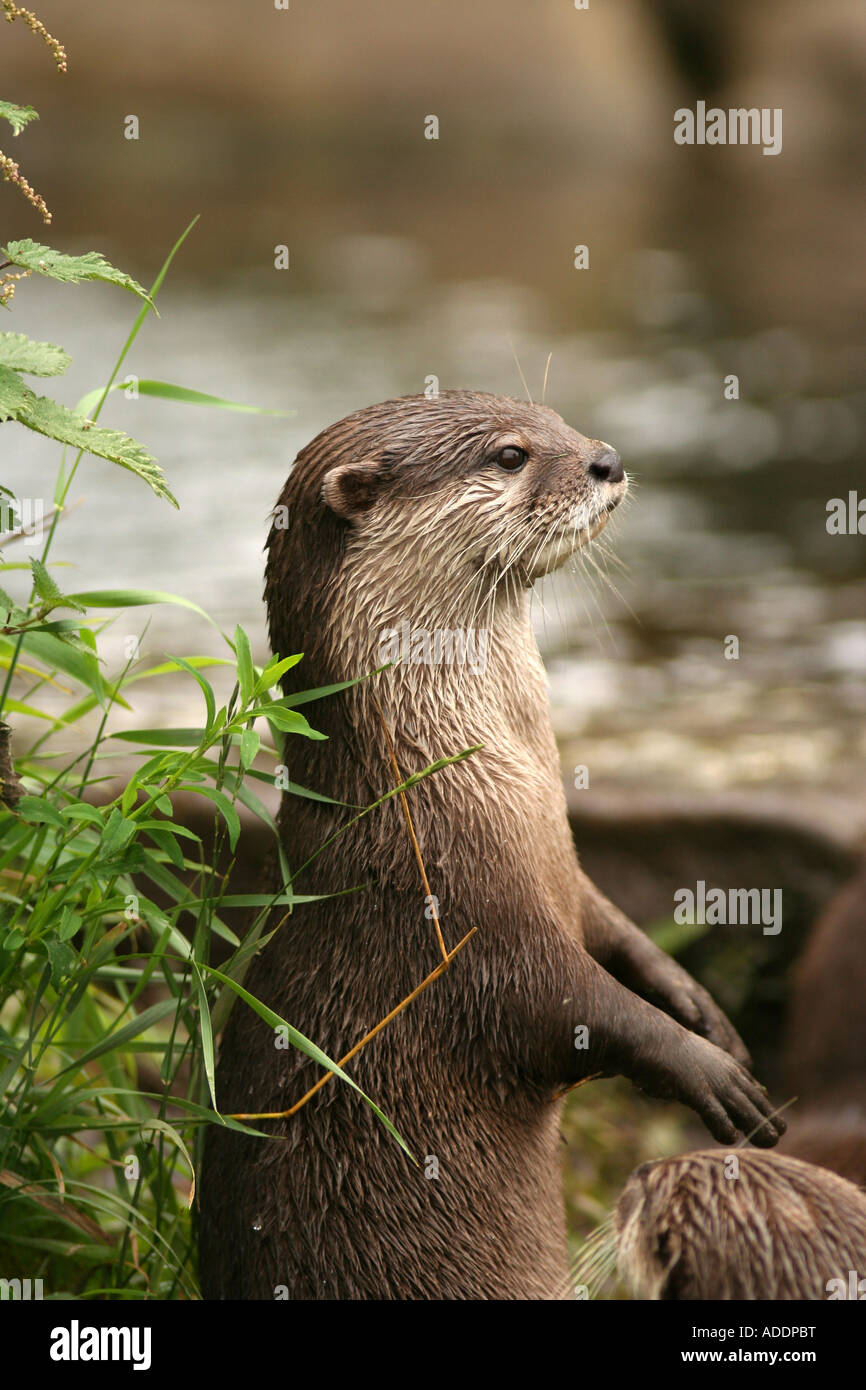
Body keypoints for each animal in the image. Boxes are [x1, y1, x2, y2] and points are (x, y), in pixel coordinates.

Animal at [198, 390, 783, 1301]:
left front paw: (697, 1006)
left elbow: (613, 929)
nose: (608, 459)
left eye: (557, 419)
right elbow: (570, 1009)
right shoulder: (461, 921)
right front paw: (705, 1070)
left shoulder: (563, 871)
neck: (438, 785)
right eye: (510, 455)